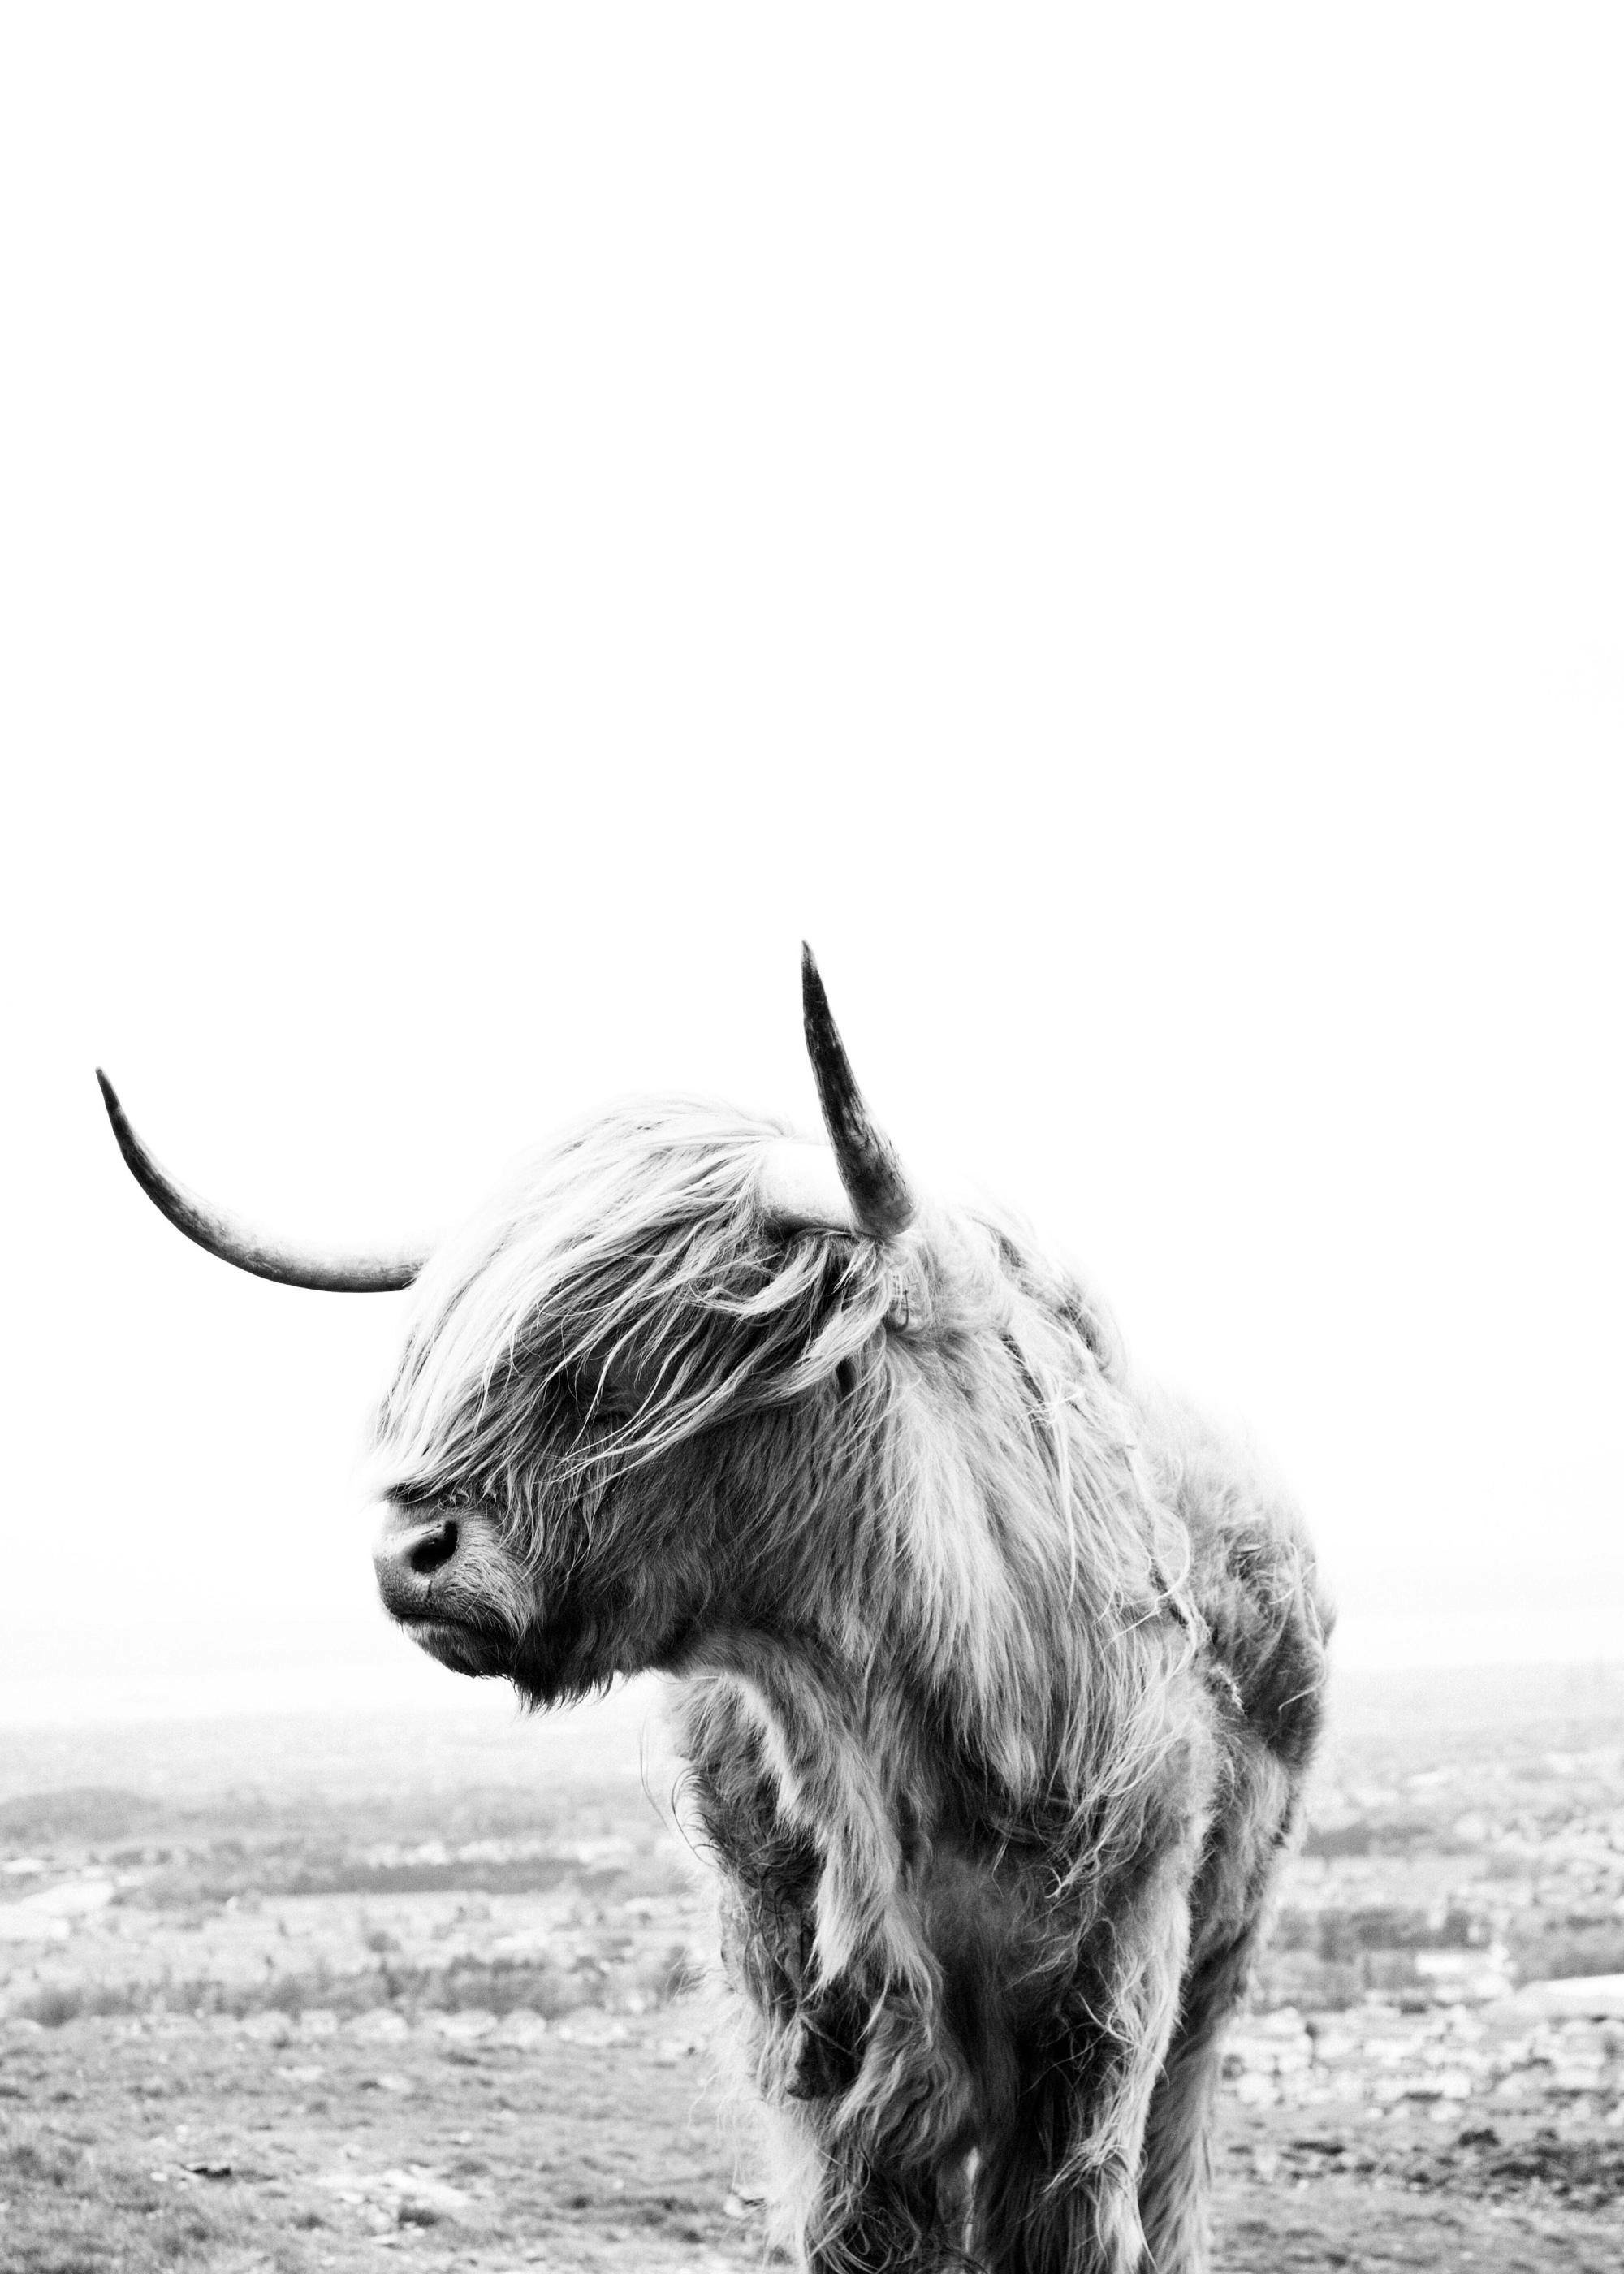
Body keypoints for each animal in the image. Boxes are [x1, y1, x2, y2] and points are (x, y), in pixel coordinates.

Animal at [99, 947, 1330, 2273]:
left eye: (630, 1357)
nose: (408, 1555)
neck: (885, 1729)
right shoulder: (813, 2021)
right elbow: (864, 2226)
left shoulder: (1099, 1999)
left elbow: (1072, 2219)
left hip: (1216, 1962)